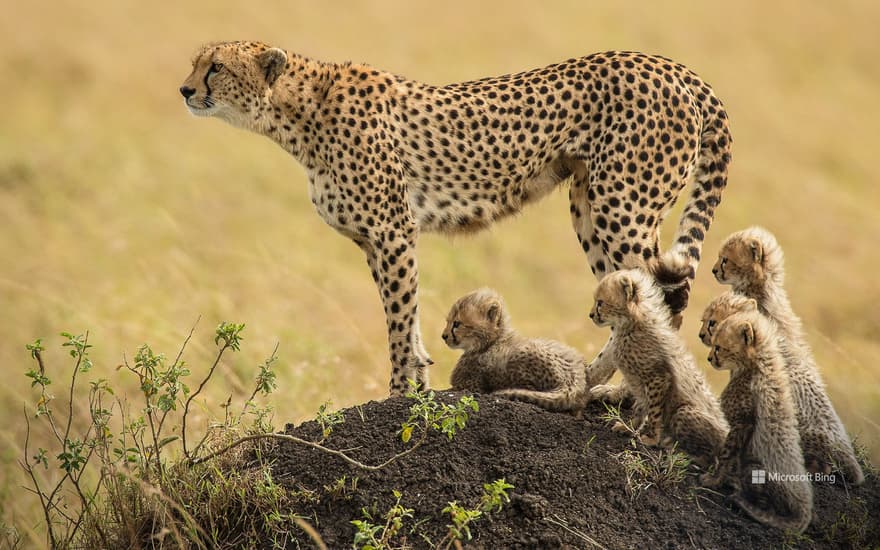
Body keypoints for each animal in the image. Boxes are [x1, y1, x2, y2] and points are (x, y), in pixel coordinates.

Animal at [177, 43, 728, 396]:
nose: (184, 90)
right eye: (196, 63)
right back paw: (591, 381)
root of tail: (676, 68)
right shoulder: (375, 240)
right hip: (589, 206)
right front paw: (419, 377)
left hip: (623, 206)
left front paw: (401, 392)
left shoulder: (393, 230)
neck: (297, 113)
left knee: (658, 301)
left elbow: (400, 317)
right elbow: (406, 317)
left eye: (216, 67)